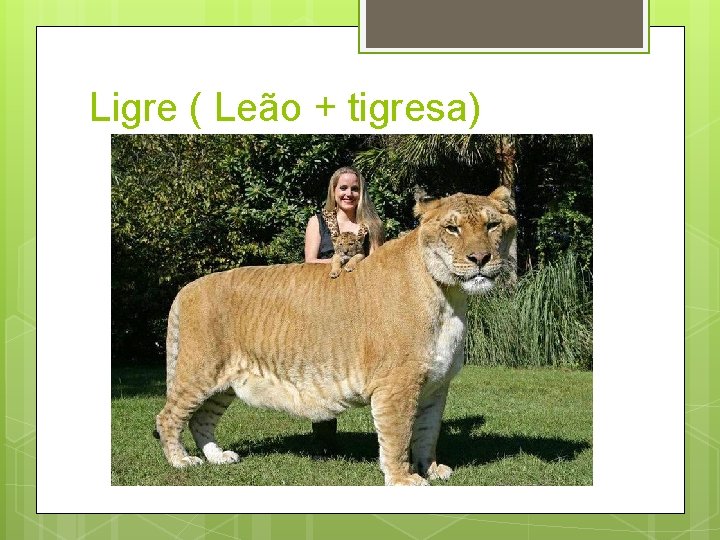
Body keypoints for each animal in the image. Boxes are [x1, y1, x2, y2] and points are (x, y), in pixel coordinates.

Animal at [154, 187, 516, 486]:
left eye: (492, 225)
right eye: (452, 228)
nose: (480, 259)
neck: (450, 297)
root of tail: (186, 289)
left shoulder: (436, 385)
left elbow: (427, 433)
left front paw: (431, 469)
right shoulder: (396, 384)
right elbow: (398, 435)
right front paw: (404, 480)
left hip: (224, 382)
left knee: (201, 419)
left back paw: (217, 457)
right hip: (199, 371)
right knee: (168, 417)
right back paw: (182, 461)